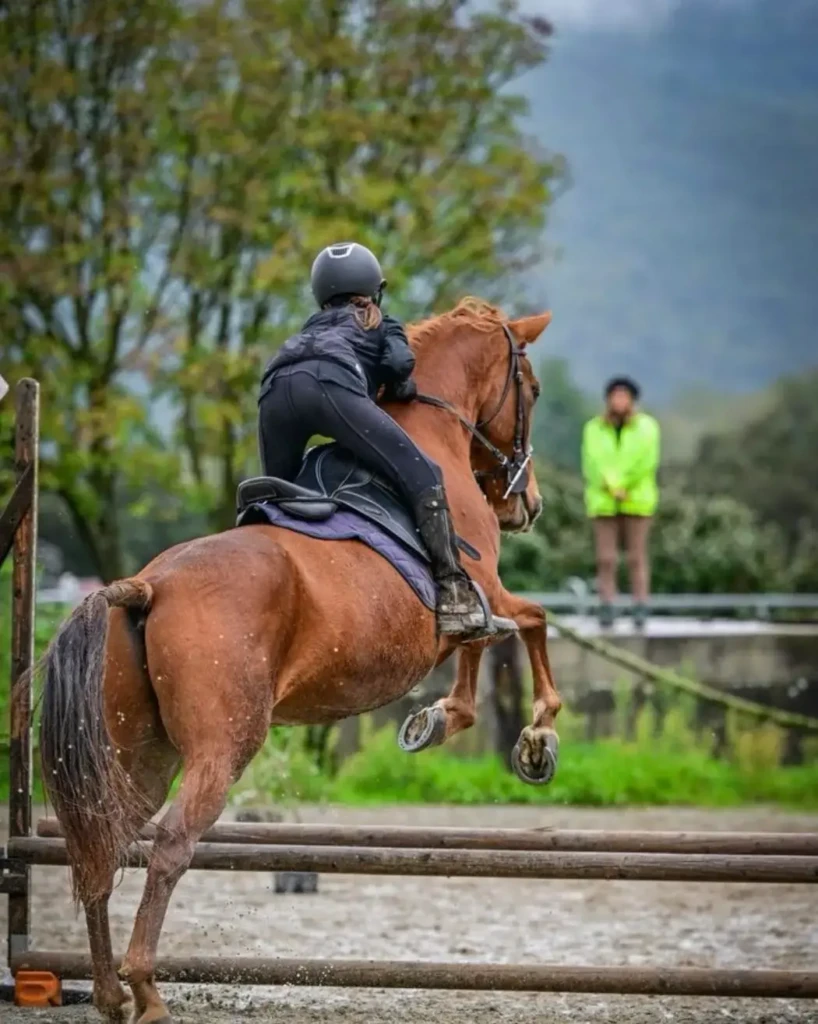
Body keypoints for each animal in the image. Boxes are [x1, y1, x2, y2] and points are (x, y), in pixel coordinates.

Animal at [38, 297, 562, 1023]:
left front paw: (438, 720)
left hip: (141, 754)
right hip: (222, 747)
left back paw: (110, 993)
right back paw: (146, 990)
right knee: (170, 846)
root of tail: (147, 585)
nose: (527, 504)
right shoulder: (484, 595)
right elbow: (526, 623)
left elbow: (496, 639)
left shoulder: (477, 610)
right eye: (532, 389)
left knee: (104, 845)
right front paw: (535, 739)